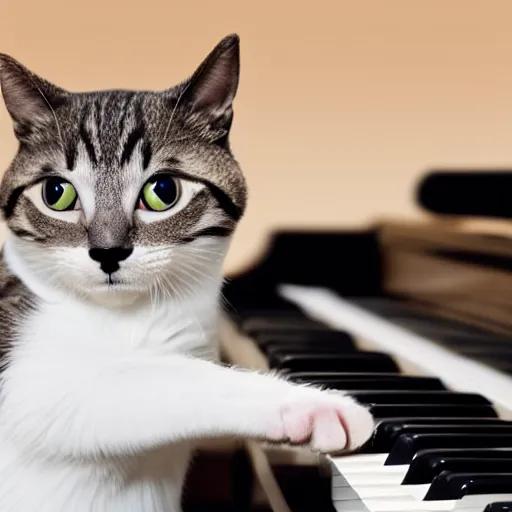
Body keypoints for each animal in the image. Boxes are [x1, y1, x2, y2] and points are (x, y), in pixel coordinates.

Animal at [0, 35, 374, 512]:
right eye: (56, 194)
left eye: (163, 191)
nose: (107, 252)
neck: (137, 318)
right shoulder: (33, 382)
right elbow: (175, 377)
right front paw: (314, 407)